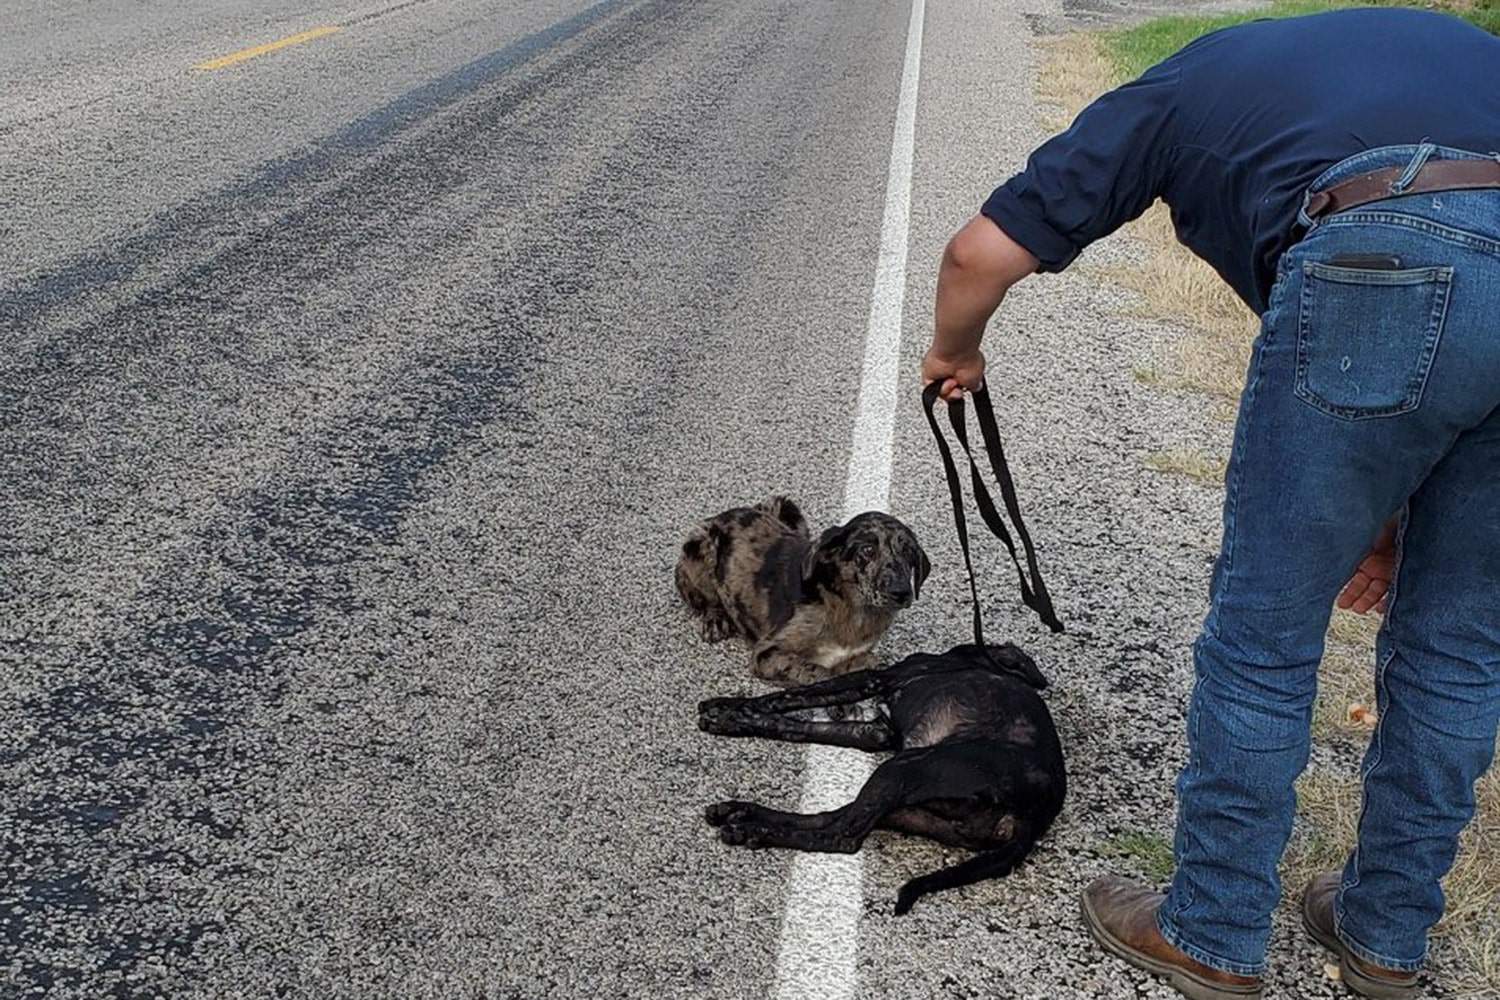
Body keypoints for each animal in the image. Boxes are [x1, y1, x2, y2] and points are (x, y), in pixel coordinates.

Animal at [678, 500, 924, 689]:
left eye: (909, 552)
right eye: (868, 550)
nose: (901, 592)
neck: (852, 609)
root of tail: (722, 515)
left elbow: (869, 660)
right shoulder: (767, 652)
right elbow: (818, 672)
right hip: (698, 547)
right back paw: (715, 618)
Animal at [696, 641, 1062, 917]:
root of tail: (1035, 816)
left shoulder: (875, 678)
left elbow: (789, 697)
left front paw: (730, 709)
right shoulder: (876, 731)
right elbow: (796, 725)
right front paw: (734, 717)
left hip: (903, 769)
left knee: (841, 838)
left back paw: (754, 830)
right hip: (906, 802)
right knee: (828, 819)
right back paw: (742, 815)